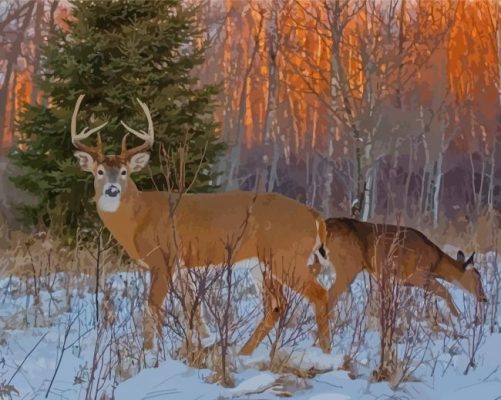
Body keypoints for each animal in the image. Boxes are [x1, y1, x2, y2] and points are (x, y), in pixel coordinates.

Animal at [68, 95, 330, 354]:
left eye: (124, 171)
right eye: (99, 171)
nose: (112, 190)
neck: (138, 219)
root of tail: (314, 216)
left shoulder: (164, 258)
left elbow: (153, 306)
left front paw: (152, 351)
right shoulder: (183, 267)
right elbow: (194, 311)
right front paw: (201, 341)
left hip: (286, 256)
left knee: (319, 294)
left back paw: (325, 351)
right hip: (263, 265)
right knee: (276, 307)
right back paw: (243, 353)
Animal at [314, 219, 486, 316]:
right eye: (478, 276)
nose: (484, 298)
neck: (435, 262)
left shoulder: (389, 278)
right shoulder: (416, 274)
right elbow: (445, 291)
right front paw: (459, 317)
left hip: (317, 262)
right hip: (348, 265)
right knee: (330, 295)